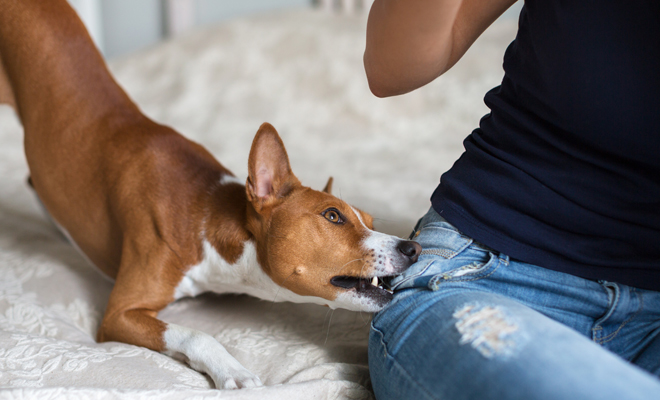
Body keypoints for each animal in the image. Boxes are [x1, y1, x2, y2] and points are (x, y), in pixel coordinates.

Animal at [0, 0, 422, 390]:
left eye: (369, 219)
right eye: (333, 216)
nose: (413, 248)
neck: (203, 215)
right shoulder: (119, 313)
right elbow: (195, 333)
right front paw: (234, 372)